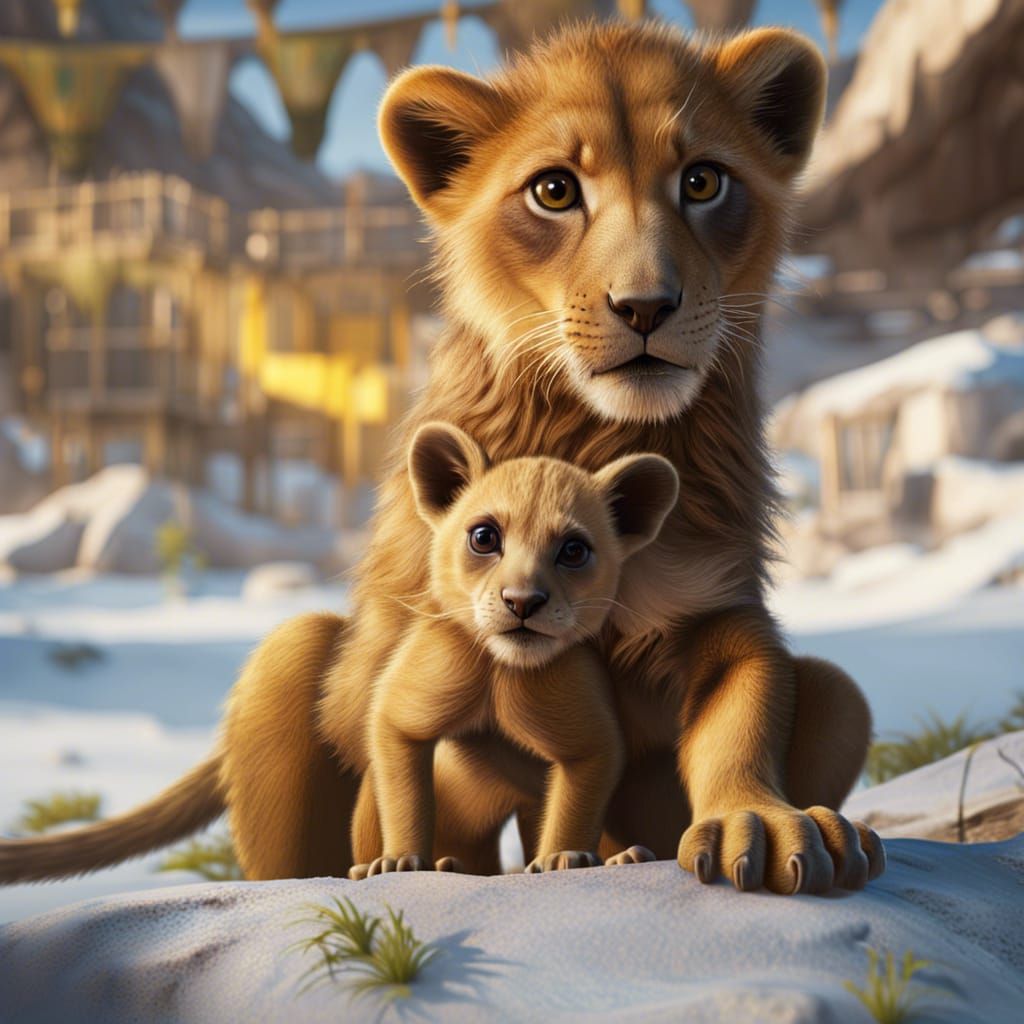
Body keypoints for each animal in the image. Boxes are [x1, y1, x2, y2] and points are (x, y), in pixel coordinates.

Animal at [0, 20, 883, 895]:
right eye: (554, 191)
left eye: (703, 182)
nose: (645, 307)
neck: (600, 434)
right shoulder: (412, 655)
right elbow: (400, 774)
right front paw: (406, 861)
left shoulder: (721, 613)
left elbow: (742, 718)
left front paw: (759, 823)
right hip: (292, 657)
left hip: (840, 697)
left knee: (831, 687)